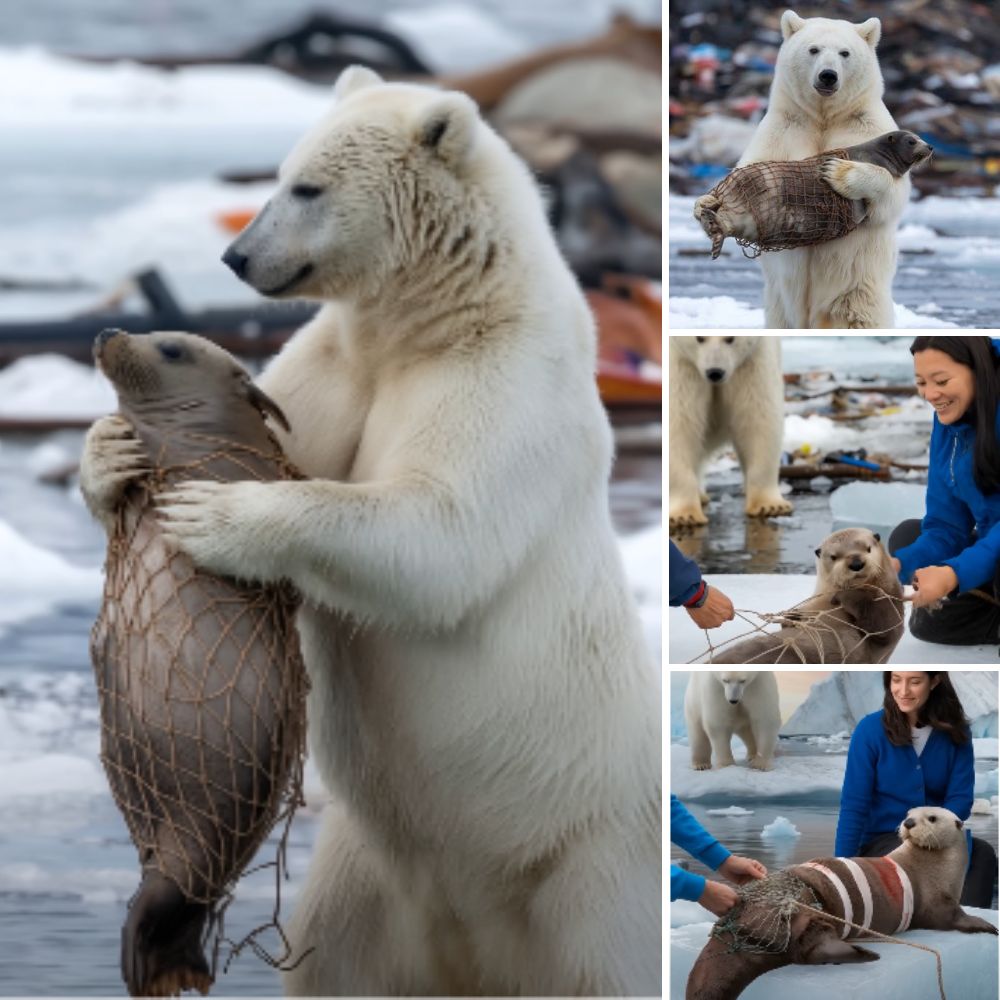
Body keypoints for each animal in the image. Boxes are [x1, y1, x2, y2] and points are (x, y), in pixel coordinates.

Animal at [78, 66, 660, 996]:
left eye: (308, 187)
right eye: (278, 173)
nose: (236, 257)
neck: (446, 315)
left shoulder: (506, 383)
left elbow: (441, 530)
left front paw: (216, 516)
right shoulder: (338, 363)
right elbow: (291, 433)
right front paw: (110, 452)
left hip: (590, 866)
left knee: (609, 959)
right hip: (374, 875)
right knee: (338, 957)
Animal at [668, 336, 792, 528]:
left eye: (730, 339)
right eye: (699, 338)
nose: (715, 372)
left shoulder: (751, 362)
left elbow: (758, 420)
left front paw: (770, 506)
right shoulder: (681, 364)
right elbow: (679, 424)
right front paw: (684, 516)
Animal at [708, 10, 912, 328]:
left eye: (844, 53)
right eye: (813, 49)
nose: (828, 75)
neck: (824, 116)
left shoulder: (866, 124)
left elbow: (893, 193)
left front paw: (838, 171)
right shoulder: (783, 128)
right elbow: (752, 172)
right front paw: (712, 204)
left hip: (858, 289)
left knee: (860, 316)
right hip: (778, 300)